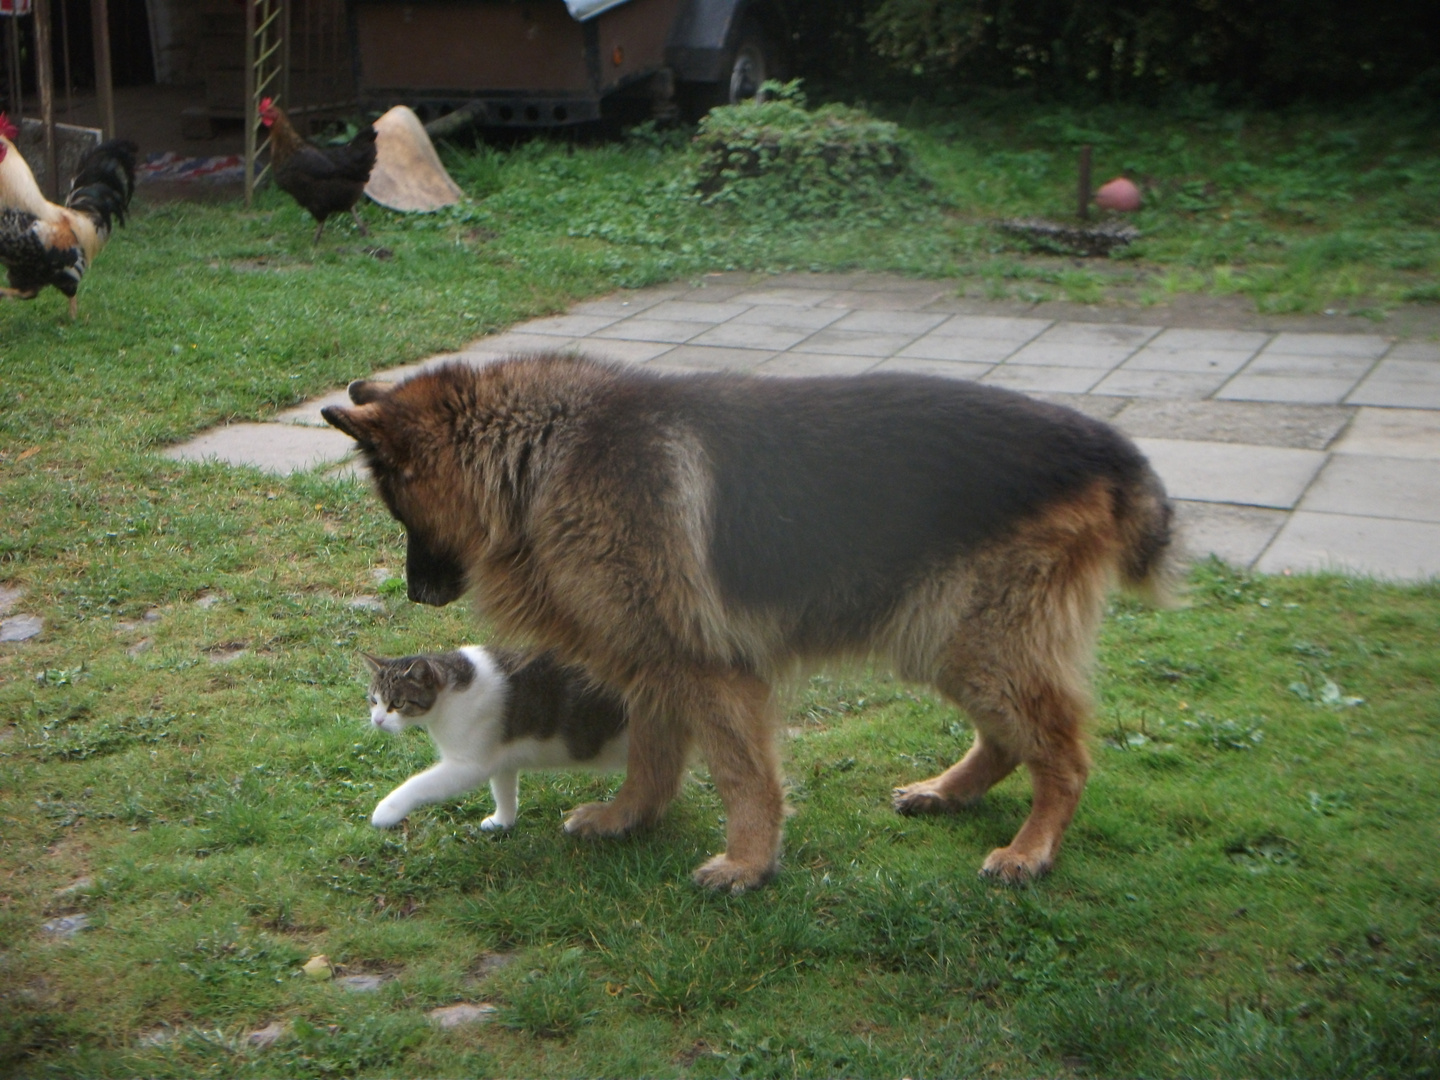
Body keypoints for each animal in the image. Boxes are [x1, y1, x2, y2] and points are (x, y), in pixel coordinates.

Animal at [362, 648, 627, 835]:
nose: (377, 720)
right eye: (374, 700)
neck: (447, 696)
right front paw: (503, 821)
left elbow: (418, 784)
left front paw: (386, 810)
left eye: (397, 703)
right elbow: (503, 791)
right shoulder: (501, 756)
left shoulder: (469, 765)